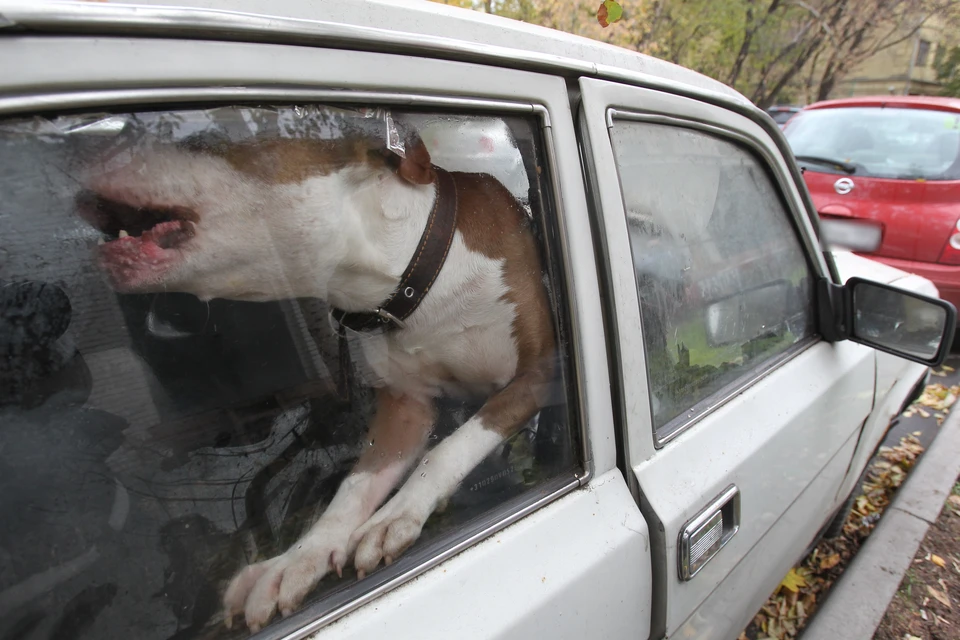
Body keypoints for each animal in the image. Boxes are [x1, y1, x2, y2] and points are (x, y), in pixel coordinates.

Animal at [77, 117, 556, 632]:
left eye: (202, 140)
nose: (91, 143)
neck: (414, 282)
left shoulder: (538, 373)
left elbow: (452, 446)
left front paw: (398, 513)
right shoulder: (404, 409)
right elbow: (352, 488)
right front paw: (295, 561)